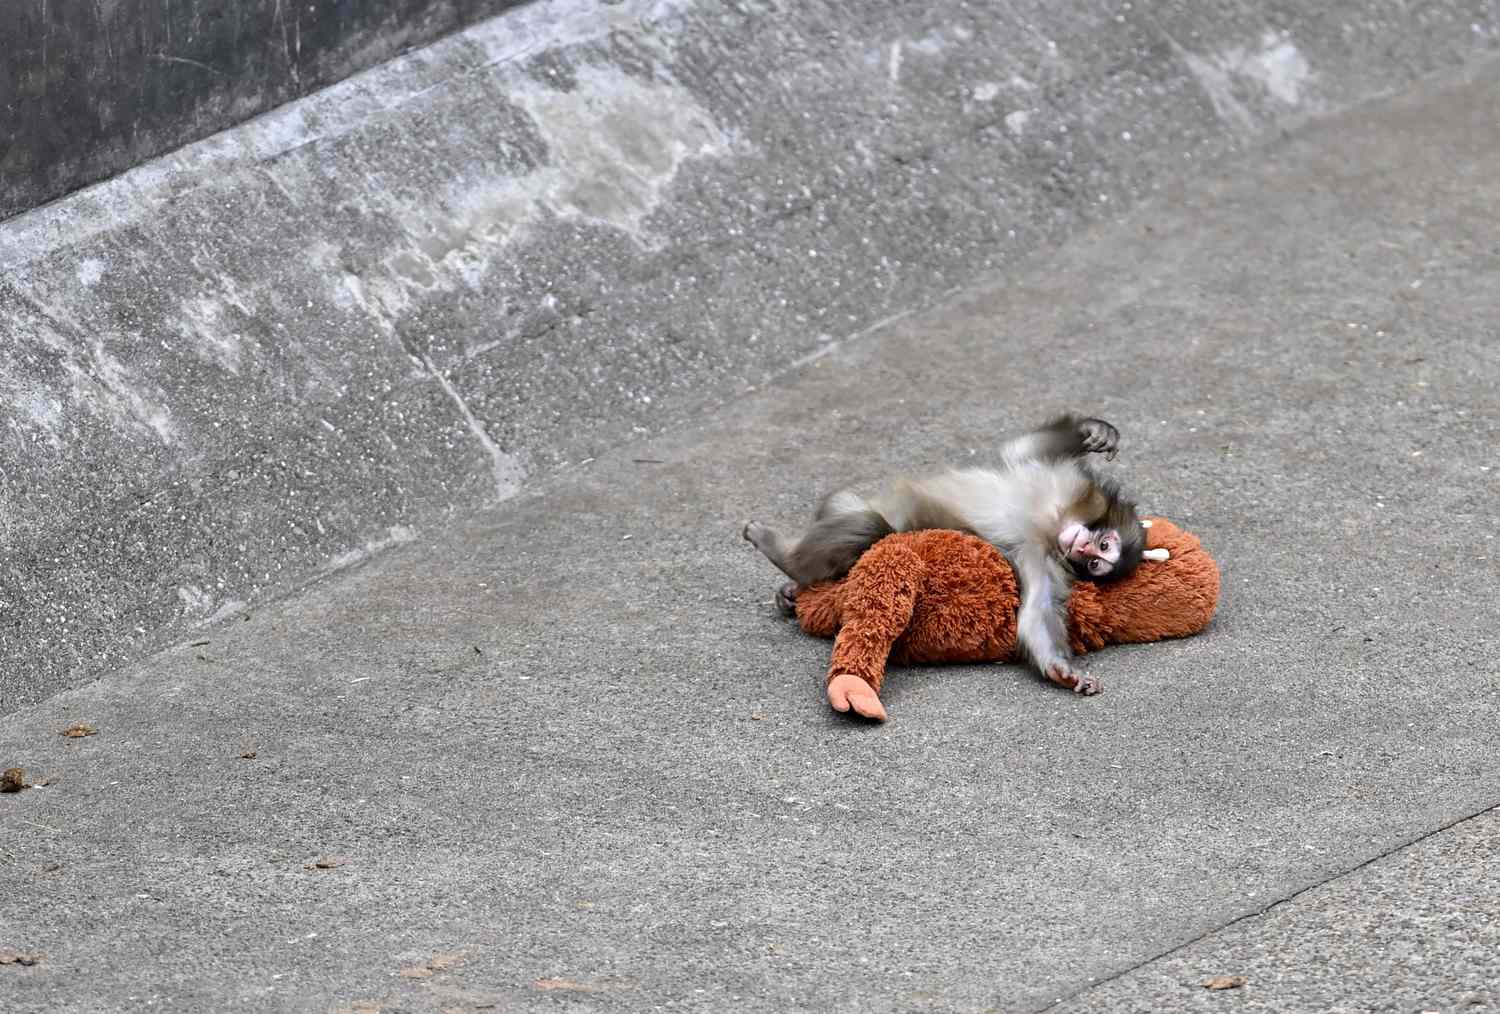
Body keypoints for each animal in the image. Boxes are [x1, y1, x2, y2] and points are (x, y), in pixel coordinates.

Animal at [742, 414, 1145, 696]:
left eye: (1096, 563)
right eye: (1103, 546)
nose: (1083, 548)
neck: (1053, 524)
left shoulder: (1043, 559)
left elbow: (1035, 614)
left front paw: (1062, 672)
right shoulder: (1067, 484)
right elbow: (1021, 449)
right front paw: (1096, 431)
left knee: (870, 527)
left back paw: (787, 567)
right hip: (844, 502)